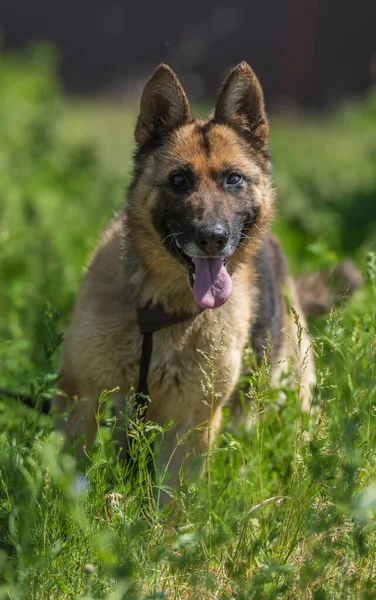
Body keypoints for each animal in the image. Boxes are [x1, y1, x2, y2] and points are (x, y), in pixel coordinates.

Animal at [53, 61, 362, 496]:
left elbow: (171, 505)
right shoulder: (81, 402)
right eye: (179, 180)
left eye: (233, 179)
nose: (212, 238)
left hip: (290, 419)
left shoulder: (189, 427)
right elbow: (64, 488)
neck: (158, 309)